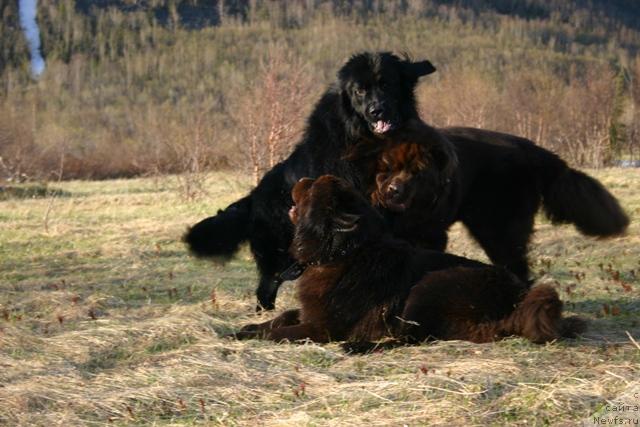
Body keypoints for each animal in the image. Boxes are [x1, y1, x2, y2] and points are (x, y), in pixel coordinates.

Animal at [185, 51, 448, 310]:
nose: (377, 110)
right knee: (267, 287)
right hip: (280, 253)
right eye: (360, 91)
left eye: (387, 84)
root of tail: (253, 197)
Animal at [229, 176, 584, 346]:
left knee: (412, 338)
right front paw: (246, 327)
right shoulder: (309, 310)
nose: (300, 178)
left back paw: (360, 347)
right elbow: (280, 317)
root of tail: (517, 300)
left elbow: (282, 332)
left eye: (314, 185)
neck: (341, 252)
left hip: (429, 287)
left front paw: (250, 337)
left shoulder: (323, 326)